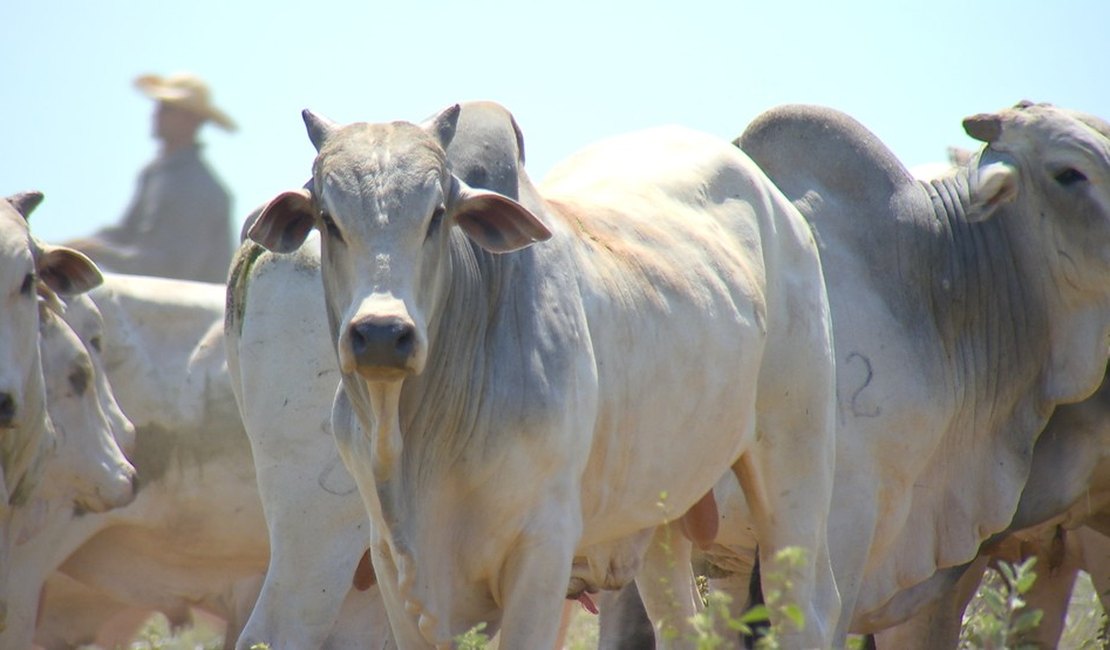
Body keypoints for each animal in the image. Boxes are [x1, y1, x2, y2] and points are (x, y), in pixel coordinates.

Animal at [249, 103, 839, 643]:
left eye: (437, 214)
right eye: (328, 220)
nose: (380, 333)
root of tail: (780, 207)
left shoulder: (543, 546)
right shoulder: (394, 566)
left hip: (795, 460)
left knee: (807, 606)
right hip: (658, 514)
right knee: (681, 624)